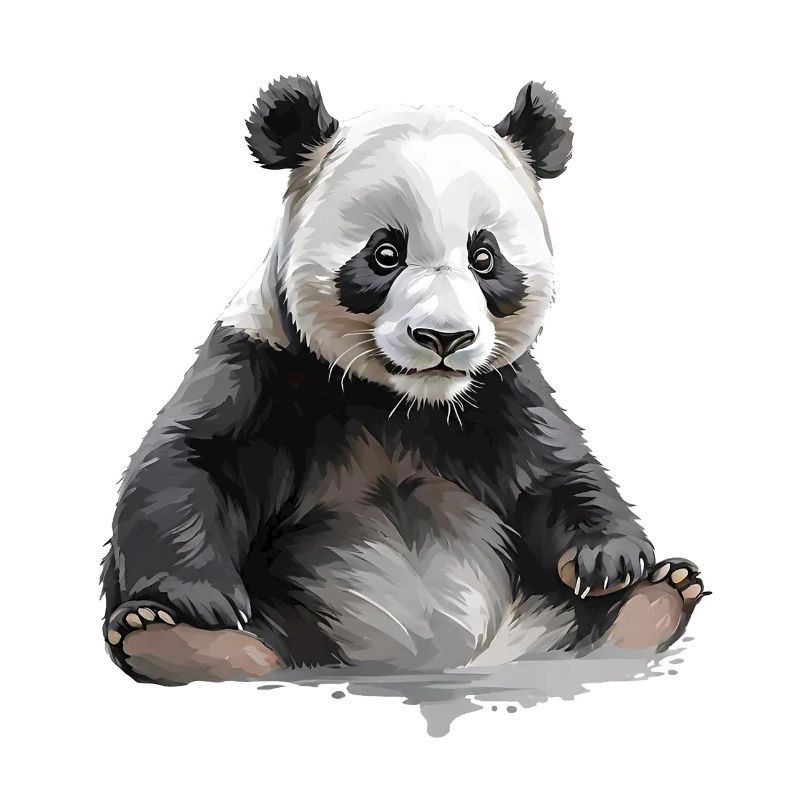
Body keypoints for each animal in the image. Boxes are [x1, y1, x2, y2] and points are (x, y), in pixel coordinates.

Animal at [102, 76, 707, 684]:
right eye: (385, 253)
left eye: (484, 258)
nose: (444, 338)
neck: (399, 402)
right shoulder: (263, 361)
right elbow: (192, 460)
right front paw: (199, 599)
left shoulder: (499, 391)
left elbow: (555, 470)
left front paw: (609, 560)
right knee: (255, 642)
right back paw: (180, 639)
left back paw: (653, 600)